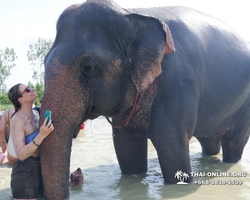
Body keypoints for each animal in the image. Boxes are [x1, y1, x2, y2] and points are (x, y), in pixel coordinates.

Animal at [40, 0, 250, 199]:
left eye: (88, 67)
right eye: (44, 60)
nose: (75, 177)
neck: (132, 15)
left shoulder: (177, 80)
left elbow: (170, 141)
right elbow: (126, 144)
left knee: (234, 142)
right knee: (209, 140)